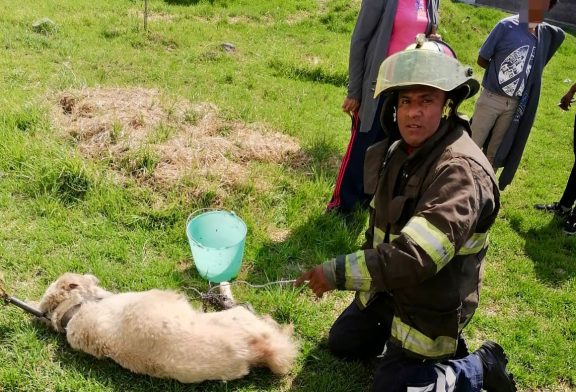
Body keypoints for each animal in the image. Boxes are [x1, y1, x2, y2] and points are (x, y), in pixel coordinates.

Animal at [37, 272, 296, 382]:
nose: (93, 276)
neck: (73, 312)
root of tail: (259, 351)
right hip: (238, 317)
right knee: (245, 307)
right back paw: (224, 291)